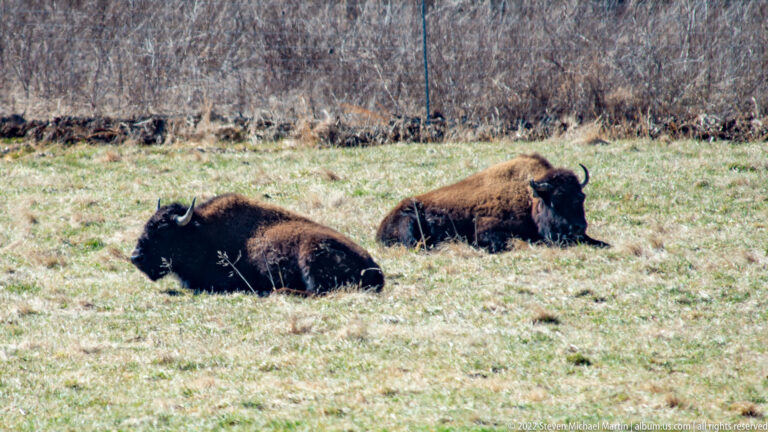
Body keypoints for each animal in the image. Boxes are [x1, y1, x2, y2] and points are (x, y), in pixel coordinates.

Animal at [376, 153, 609, 252]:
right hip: (411, 222)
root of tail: (382, 226)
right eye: (557, 199)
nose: (579, 227)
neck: (531, 200)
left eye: (581, 197)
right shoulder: (488, 230)